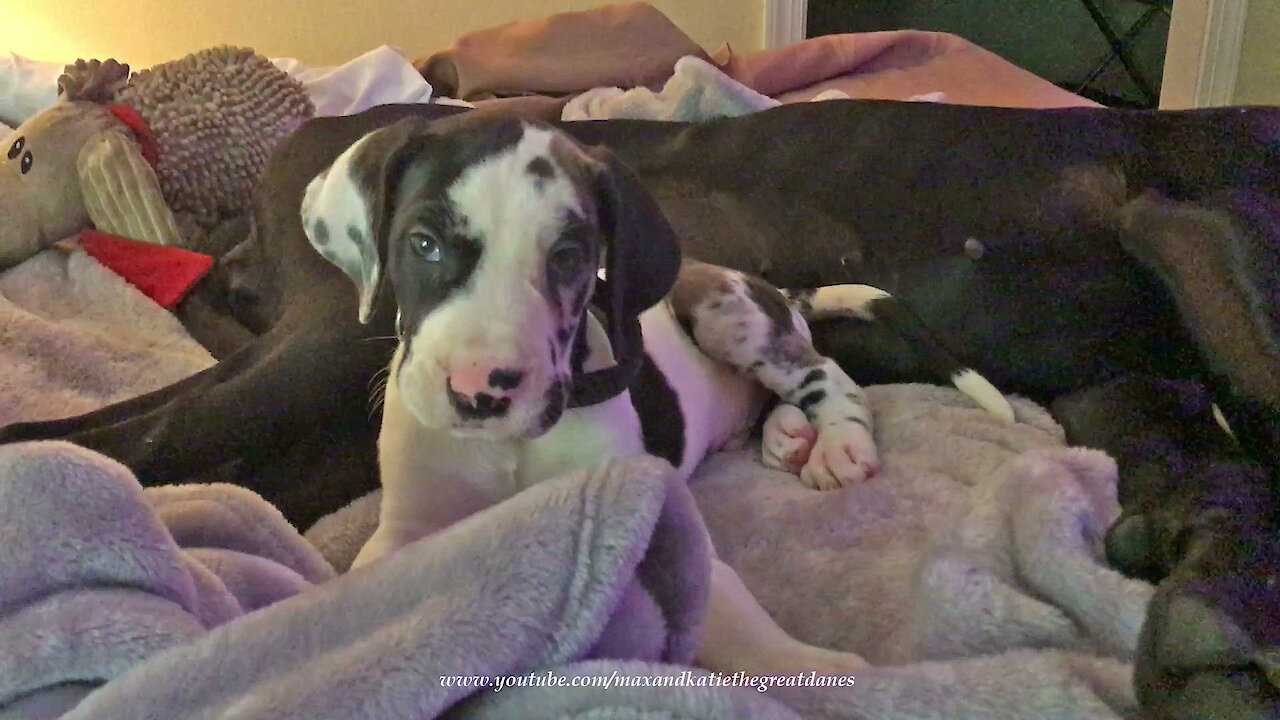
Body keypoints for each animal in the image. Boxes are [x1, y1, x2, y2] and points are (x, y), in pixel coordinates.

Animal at [299, 114, 1008, 671]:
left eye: (569, 257)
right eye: (423, 243)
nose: (481, 391)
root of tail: (777, 289)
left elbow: (732, 615)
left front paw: (819, 672)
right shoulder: (408, 530)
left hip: (726, 312)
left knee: (829, 377)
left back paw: (835, 443)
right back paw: (786, 436)